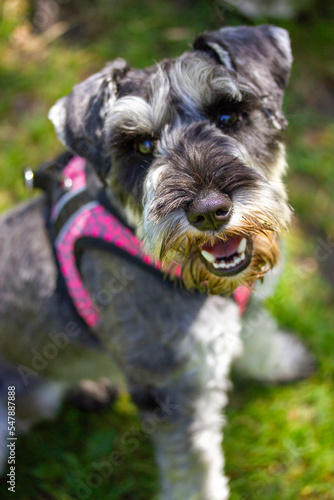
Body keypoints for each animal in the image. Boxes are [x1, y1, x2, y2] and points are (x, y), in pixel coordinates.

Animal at [0, 24, 314, 500]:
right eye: (143, 145)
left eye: (228, 116)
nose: (209, 211)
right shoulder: (175, 391)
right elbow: (196, 474)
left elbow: (258, 333)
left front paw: (282, 361)